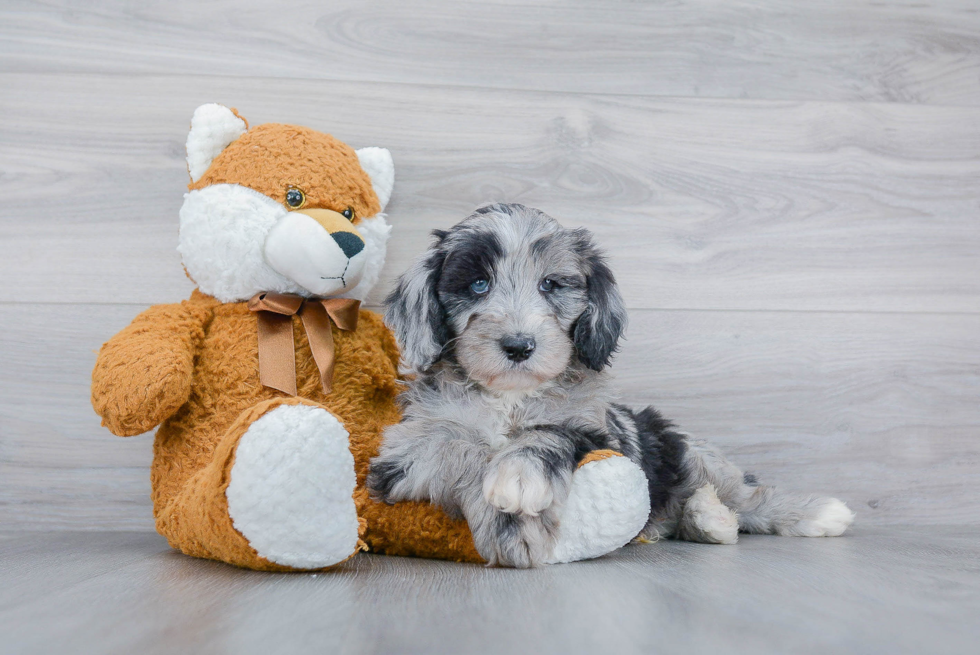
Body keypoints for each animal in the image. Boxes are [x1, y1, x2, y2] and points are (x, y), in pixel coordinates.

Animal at [366, 205, 848, 568]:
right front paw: (510, 522)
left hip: (686, 450)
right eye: (478, 284)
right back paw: (710, 519)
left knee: (745, 495)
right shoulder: (405, 449)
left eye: (550, 284)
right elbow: (462, 449)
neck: (510, 397)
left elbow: (548, 434)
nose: (519, 345)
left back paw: (807, 513)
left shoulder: (596, 430)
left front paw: (518, 479)